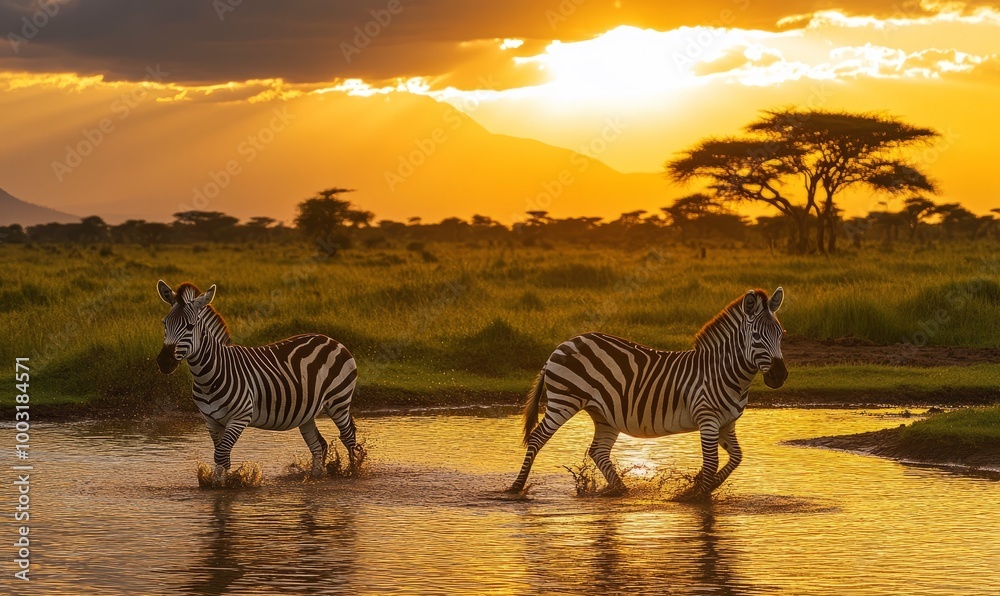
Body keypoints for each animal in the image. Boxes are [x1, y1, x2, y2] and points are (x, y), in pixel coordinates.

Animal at [155, 280, 360, 481]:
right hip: (307, 411)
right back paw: (315, 476)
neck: (208, 377)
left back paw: (353, 472)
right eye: (164, 324)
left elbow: (221, 455)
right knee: (319, 445)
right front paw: (217, 483)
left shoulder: (240, 417)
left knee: (348, 437)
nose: (164, 362)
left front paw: (222, 485)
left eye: (190, 326)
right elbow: (221, 457)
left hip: (338, 401)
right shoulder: (211, 421)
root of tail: (331, 340)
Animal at [508, 287, 787, 498]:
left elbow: (736, 458)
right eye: (756, 336)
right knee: (537, 438)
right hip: (563, 401)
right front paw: (693, 495)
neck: (724, 372)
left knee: (598, 451)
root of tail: (563, 344)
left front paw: (700, 485)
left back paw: (622, 490)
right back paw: (515, 488)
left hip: (603, 413)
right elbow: (711, 463)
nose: (780, 376)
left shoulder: (727, 423)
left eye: (781, 334)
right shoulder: (707, 418)